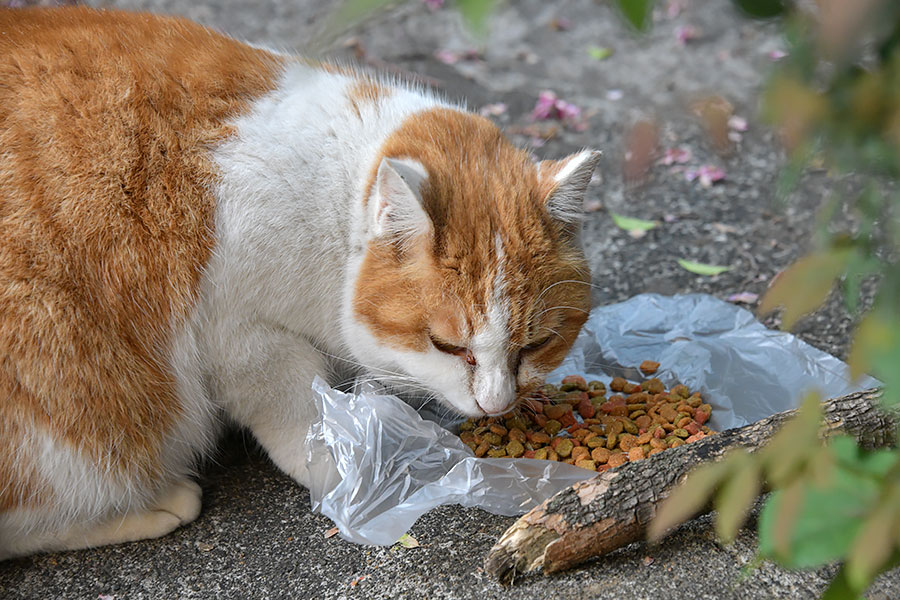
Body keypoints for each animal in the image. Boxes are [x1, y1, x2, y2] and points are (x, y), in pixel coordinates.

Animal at [1, 4, 604, 560]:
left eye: (537, 344)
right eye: (448, 346)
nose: (495, 405)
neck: (331, 196)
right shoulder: (237, 331)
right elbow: (293, 404)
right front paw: (345, 471)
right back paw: (151, 505)